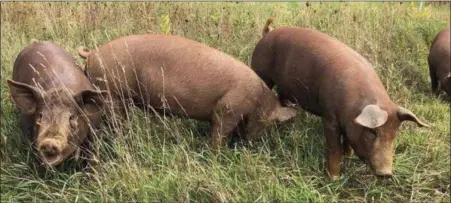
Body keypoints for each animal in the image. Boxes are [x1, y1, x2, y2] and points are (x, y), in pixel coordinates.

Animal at [76, 35, 298, 149]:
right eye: (271, 122)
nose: (250, 144)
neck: (259, 99)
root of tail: (93, 53)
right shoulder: (228, 108)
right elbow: (219, 133)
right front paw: (217, 153)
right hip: (111, 92)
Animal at [251, 18, 430, 178]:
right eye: (372, 132)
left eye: (394, 134)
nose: (386, 173)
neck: (353, 110)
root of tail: (267, 33)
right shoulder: (330, 117)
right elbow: (334, 148)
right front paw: (334, 178)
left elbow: (347, 141)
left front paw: (348, 155)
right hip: (261, 71)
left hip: (285, 86)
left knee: (282, 97)